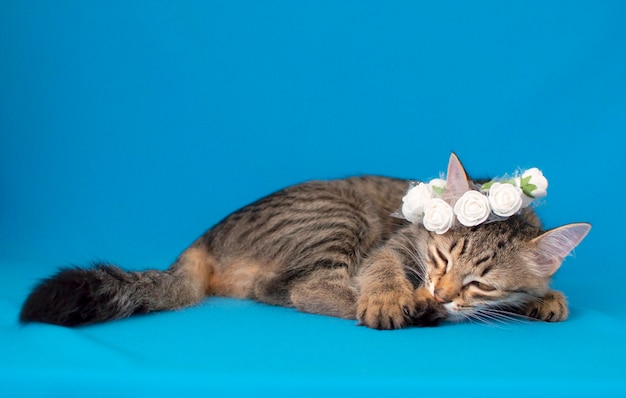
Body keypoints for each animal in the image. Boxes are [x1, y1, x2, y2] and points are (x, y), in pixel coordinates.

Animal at [17, 153, 588, 330]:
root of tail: (204, 236)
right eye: (441, 256)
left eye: (480, 284)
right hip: (337, 218)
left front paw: (546, 298)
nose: (443, 293)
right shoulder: (395, 245)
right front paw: (393, 297)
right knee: (299, 290)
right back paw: (412, 307)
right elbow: (381, 272)